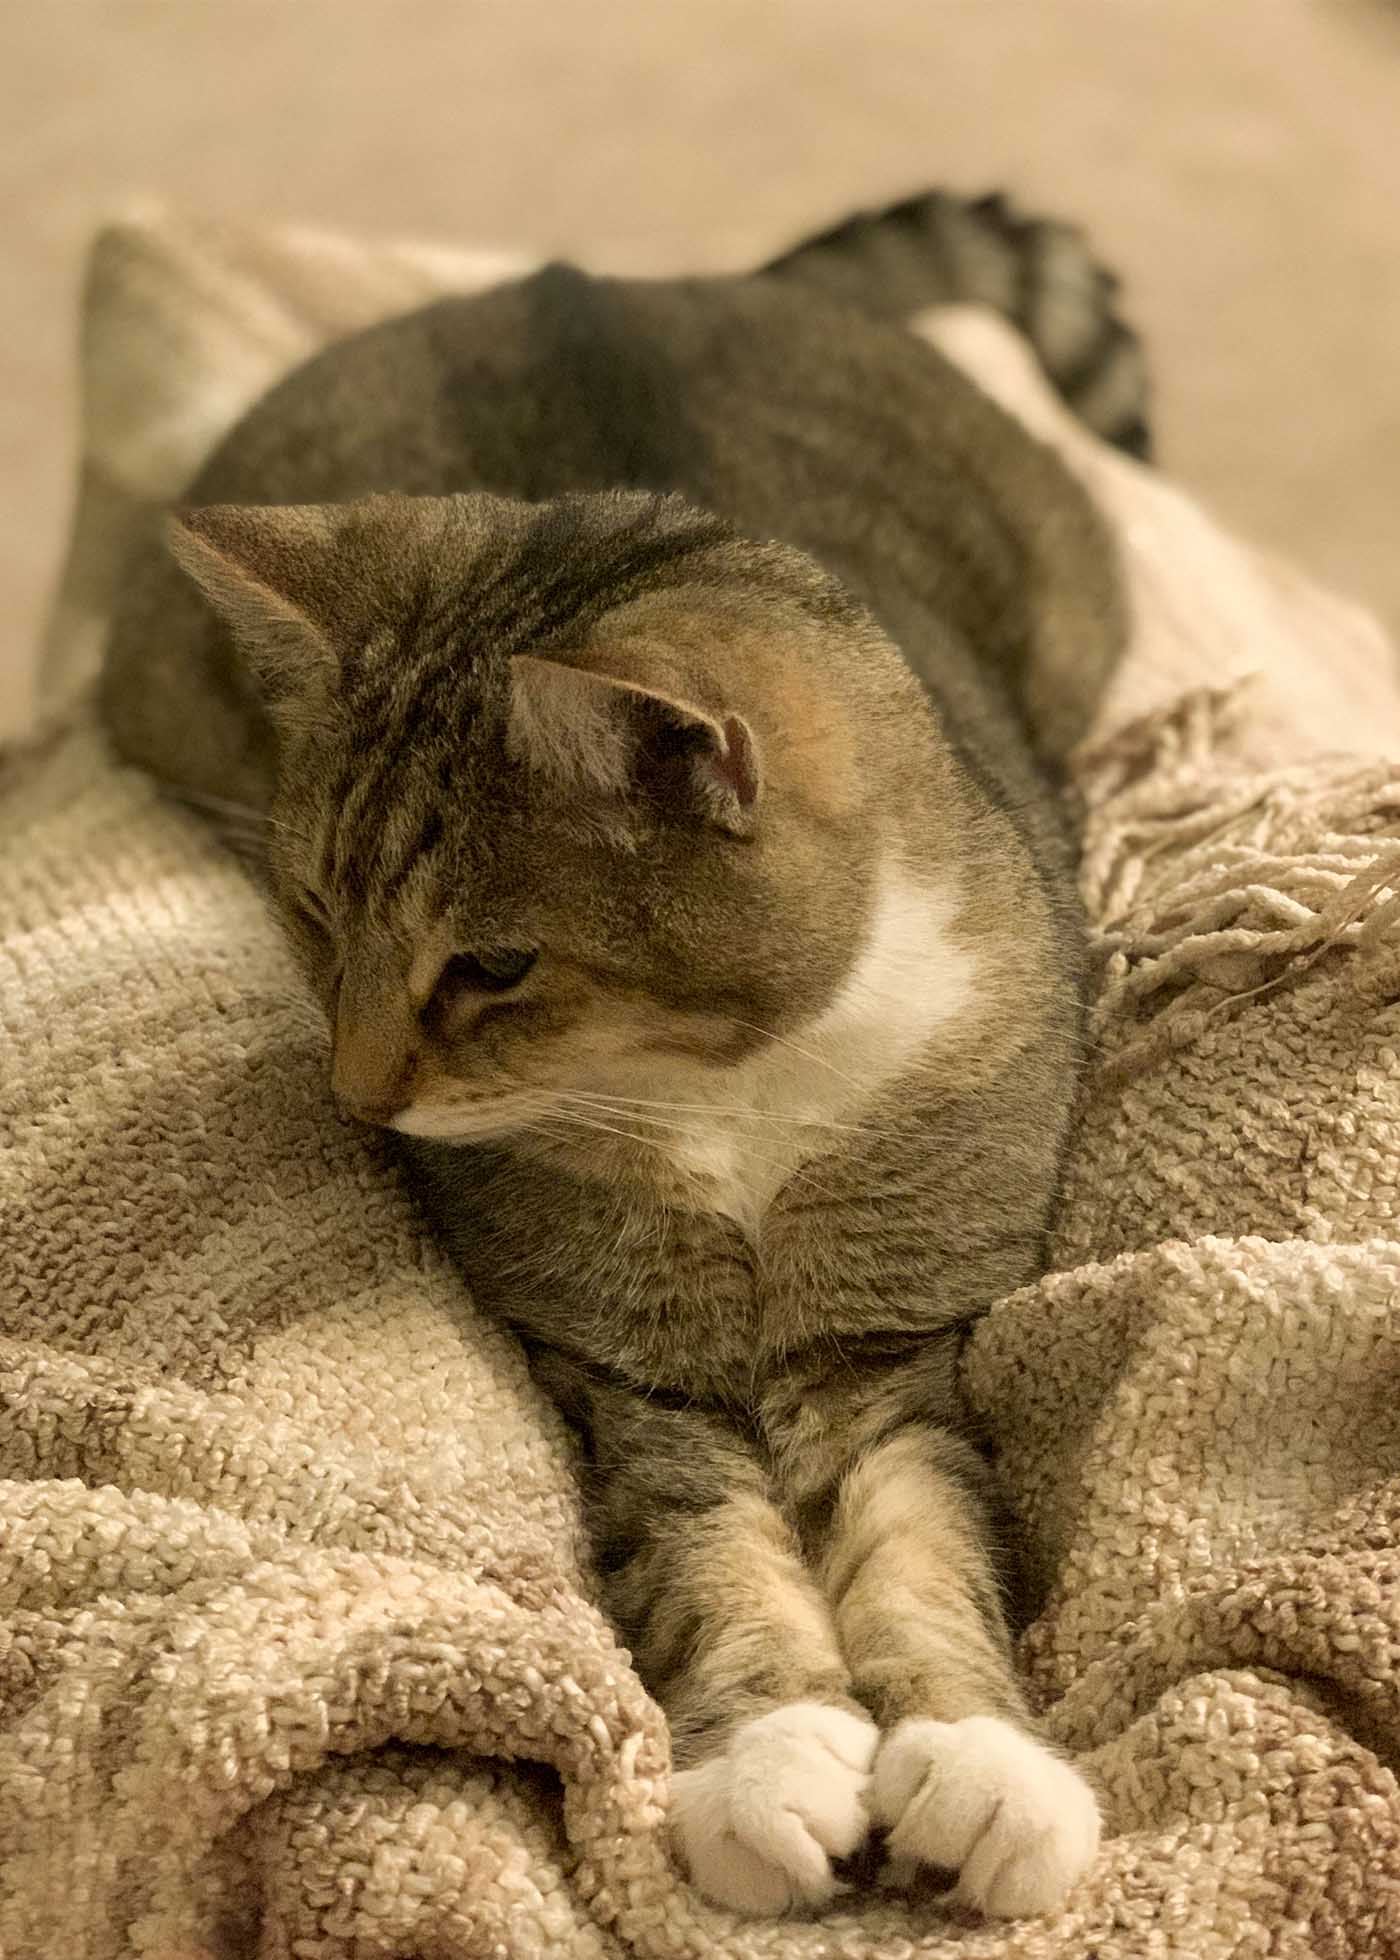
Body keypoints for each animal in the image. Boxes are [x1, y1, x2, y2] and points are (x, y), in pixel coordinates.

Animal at [100, 191, 1145, 1920]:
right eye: (312, 912)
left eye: (495, 965)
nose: (356, 1095)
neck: (736, 1087)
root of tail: (622, 283)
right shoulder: (622, 1353)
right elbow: (705, 1544)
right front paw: (772, 1766)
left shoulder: (895, 1328)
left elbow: (929, 1540)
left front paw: (983, 1769)